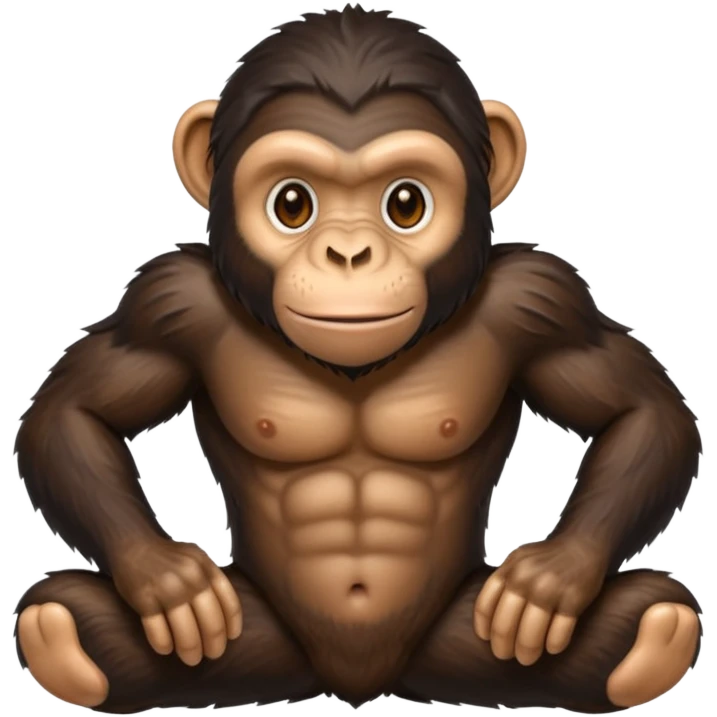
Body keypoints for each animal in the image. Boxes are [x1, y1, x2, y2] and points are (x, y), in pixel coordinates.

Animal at [12, 5, 703, 714]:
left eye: (405, 203)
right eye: (292, 204)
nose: (347, 254)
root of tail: (358, 681)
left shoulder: (542, 301)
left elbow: (637, 410)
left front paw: (548, 579)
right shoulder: (169, 304)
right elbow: (78, 411)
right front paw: (169, 579)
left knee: (647, 615)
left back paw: (651, 636)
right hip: (265, 640)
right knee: (68, 614)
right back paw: (64, 637)